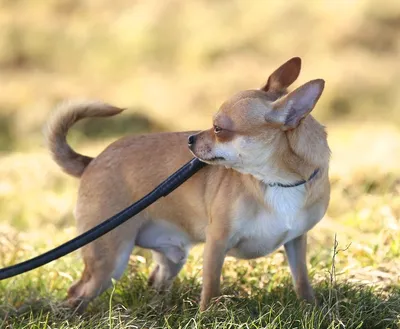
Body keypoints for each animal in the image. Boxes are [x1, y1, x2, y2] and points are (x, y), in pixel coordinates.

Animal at [45, 57, 330, 312]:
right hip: (109, 259)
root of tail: (92, 161)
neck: (277, 181)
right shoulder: (217, 242)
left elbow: (301, 279)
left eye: (218, 128)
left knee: (155, 282)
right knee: (77, 291)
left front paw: (311, 307)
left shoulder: (296, 241)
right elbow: (211, 287)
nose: (190, 139)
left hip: (169, 258)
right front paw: (206, 316)